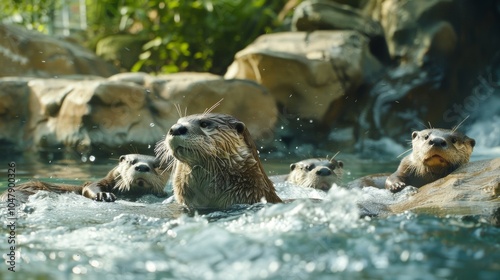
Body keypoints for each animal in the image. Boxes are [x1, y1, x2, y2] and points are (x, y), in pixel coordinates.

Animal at [0, 154, 169, 202]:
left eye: (157, 165)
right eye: (131, 161)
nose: (142, 167)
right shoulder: (97, 182)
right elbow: (89, 187)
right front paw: (104, 195)